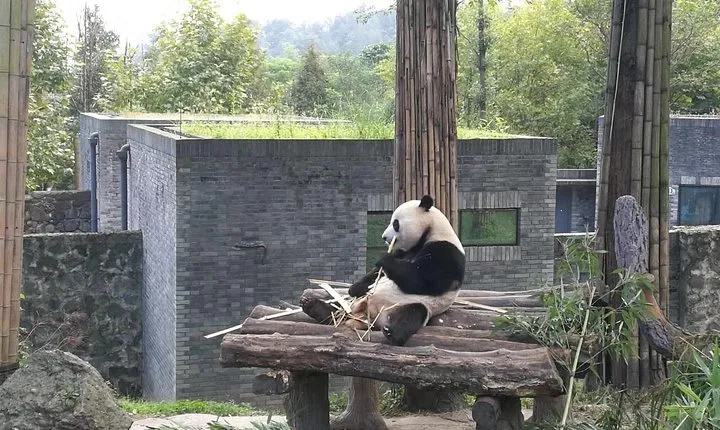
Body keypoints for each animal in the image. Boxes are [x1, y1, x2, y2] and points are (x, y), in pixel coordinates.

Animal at [301, 195, 465, 346]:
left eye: (396, 223)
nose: (384, 237)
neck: (431, 230)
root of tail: (367, 315)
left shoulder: (446, 252)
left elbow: (423, 280)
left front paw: (383, 258)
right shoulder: (404, 251)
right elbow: (375, 275)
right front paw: (354, 288)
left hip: (409, 305)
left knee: (413, 313)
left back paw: (391, 332)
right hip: (355, 304)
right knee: (340, 308)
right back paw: (313, 305)